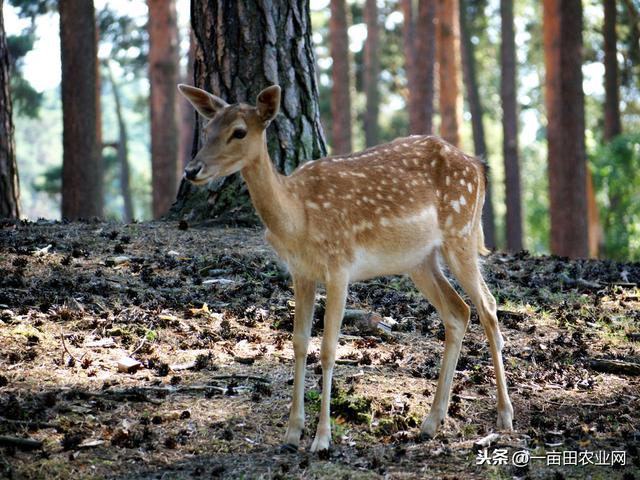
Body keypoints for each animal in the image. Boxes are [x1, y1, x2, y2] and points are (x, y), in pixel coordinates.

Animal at [176, 83, 516, 454]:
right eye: (208, 129)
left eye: (239, 131)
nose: (191, 170)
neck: (298, 218)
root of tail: (479, 166)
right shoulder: (301, 272)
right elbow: (298, 343)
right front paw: (292, 433)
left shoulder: (339, 265)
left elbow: (328, 348)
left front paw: (322, 439)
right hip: (419, 260)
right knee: (458, 311)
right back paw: (430, 422)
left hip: (461, 232)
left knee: (488, 307)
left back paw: (505, 416)